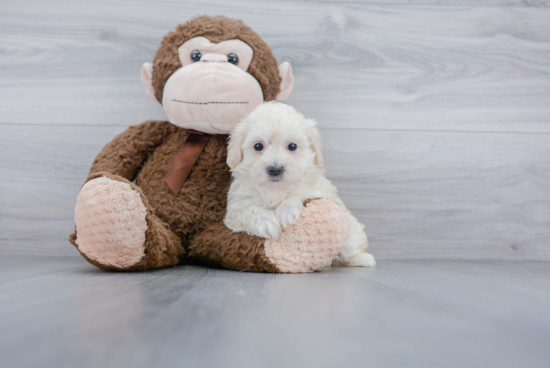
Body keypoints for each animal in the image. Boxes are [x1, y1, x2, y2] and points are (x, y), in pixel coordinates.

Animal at [224, 100, 376, 268]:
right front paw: (267, 223)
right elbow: (248, 209)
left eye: (292, 146)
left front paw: (286, 212)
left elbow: (299, 192)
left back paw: (363, 259)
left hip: (350, 234)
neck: (274, 188)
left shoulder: (317, 189)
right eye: (258, 146)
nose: (275, 169)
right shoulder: (236, 206)